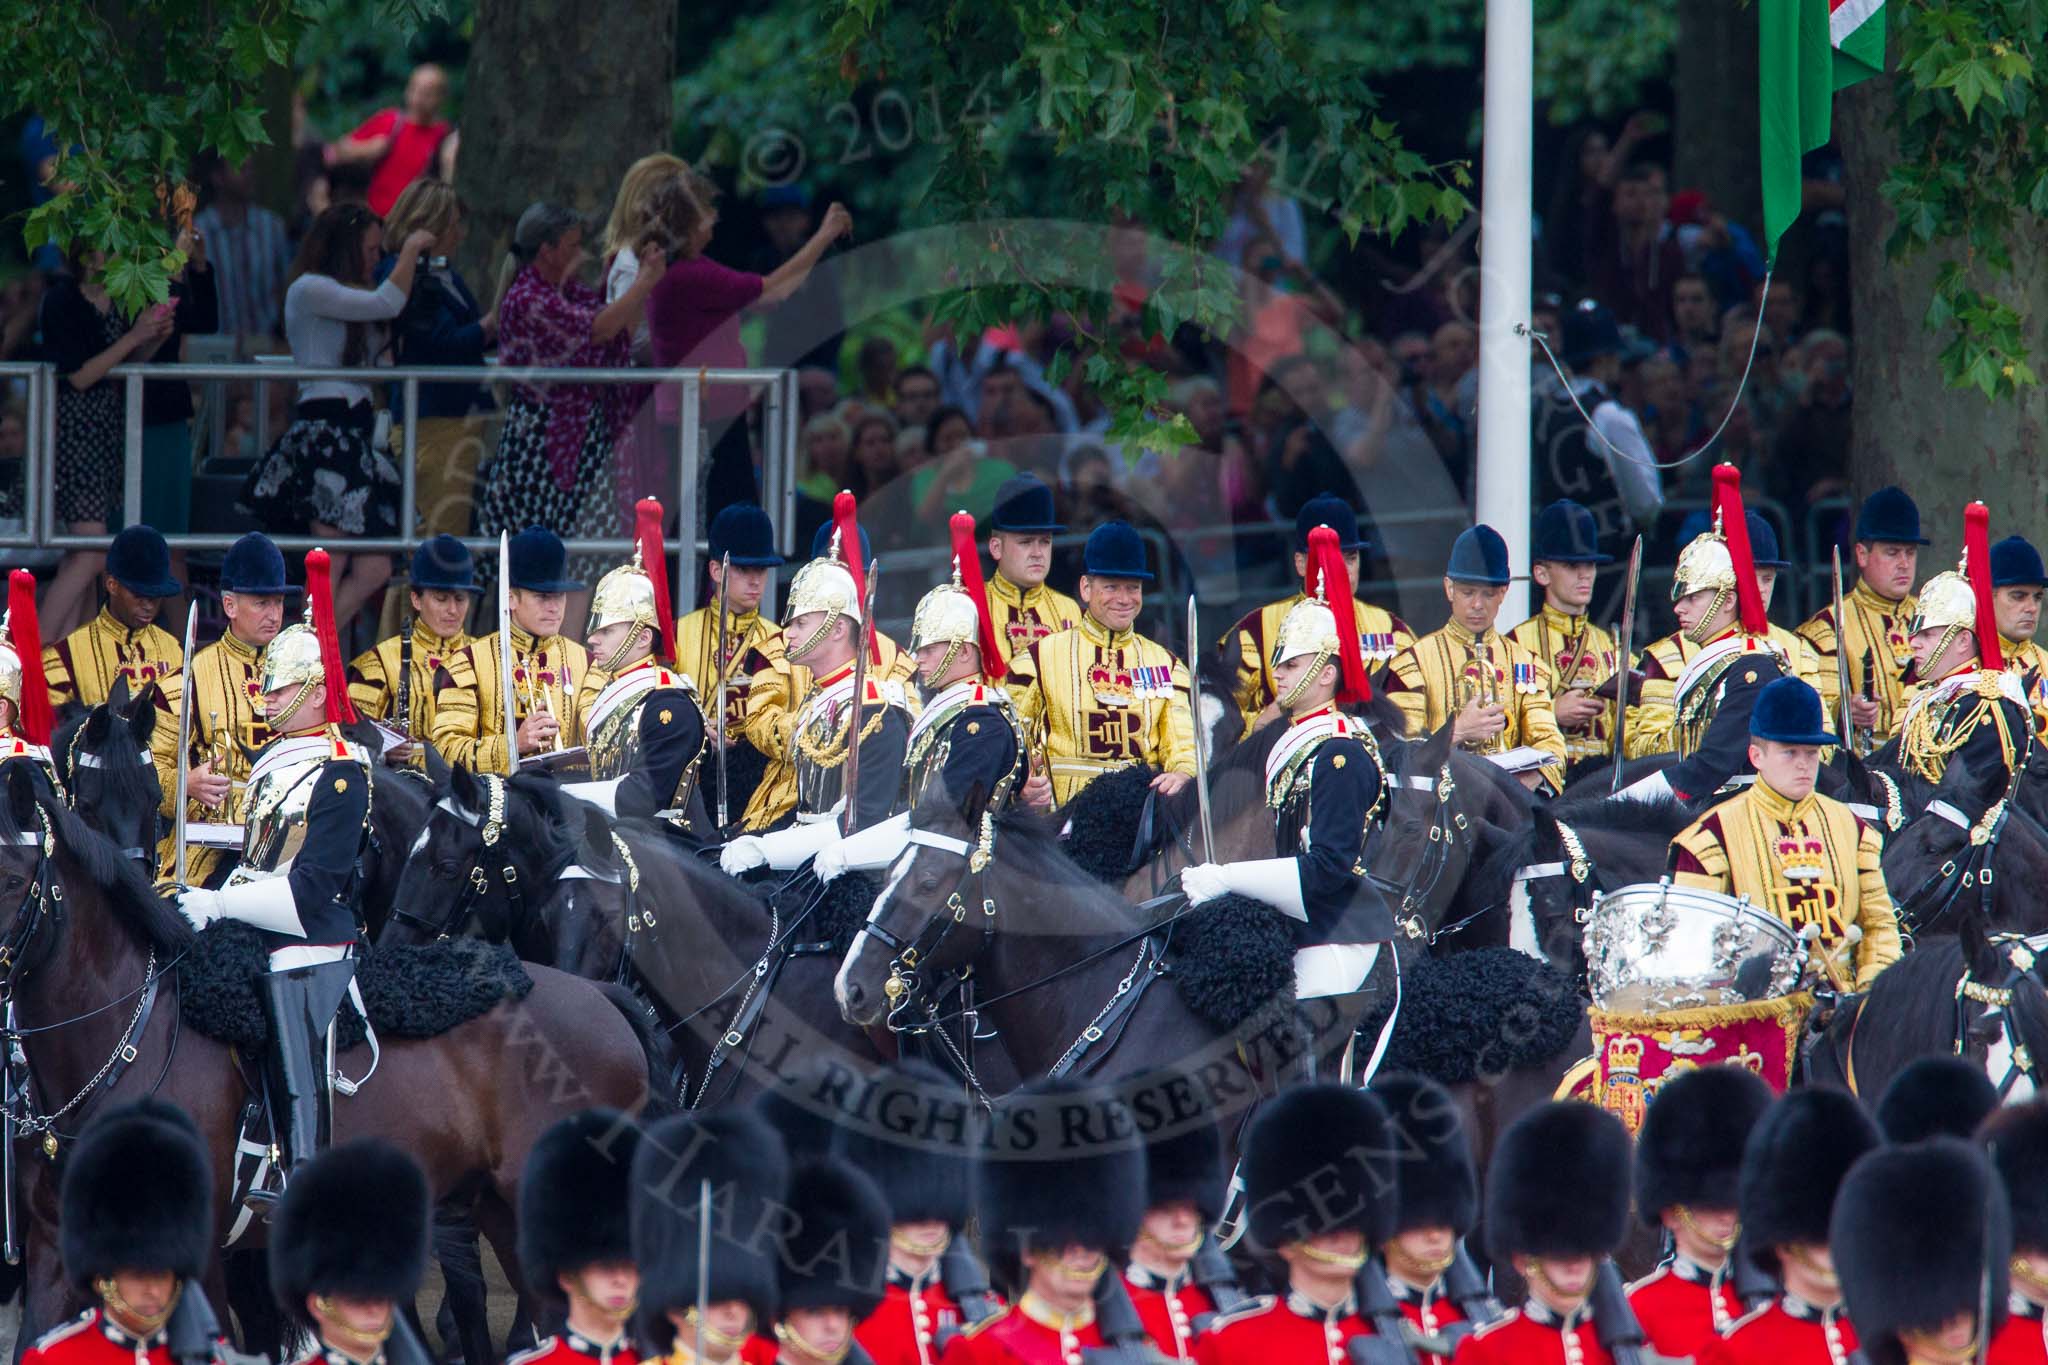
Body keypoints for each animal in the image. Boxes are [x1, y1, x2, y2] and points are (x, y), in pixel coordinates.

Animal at [0, 765, 655, 1350]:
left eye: (11, 877)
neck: (128, 1038)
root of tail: (603, 998)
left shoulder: (198, 1255)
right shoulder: (55, 1247)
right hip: (501, 1211)